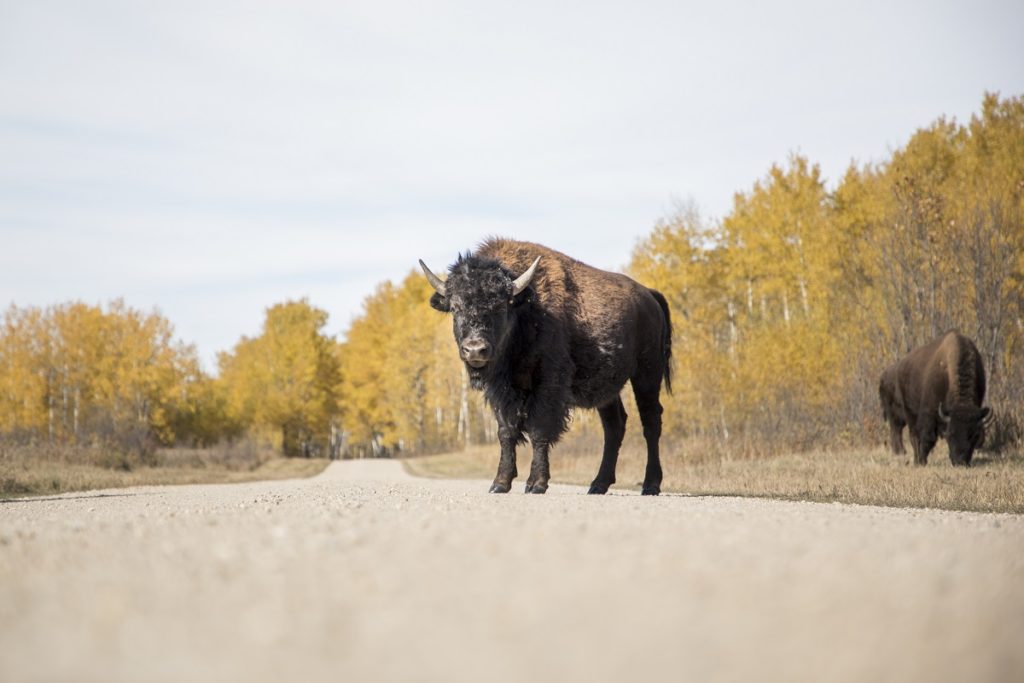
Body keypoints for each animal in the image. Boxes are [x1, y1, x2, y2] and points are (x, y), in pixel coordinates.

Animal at [417, 240, 671, 497]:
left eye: (500, 306)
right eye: (455, 308)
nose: (475, 349)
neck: (526, 310)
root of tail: (650, 297)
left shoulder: (548, 383)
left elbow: (539, 429)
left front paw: (536, 484)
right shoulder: (500, 391)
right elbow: (505, 432)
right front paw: (500, 483)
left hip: (647, 374)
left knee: (651, 421)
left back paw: (650, 485)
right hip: (608, 391)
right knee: (614, 426)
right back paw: (598, 484)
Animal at [880, 329, 991, 466]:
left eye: (974, 435)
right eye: (950, 434)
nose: (960, 461)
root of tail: (900, 367)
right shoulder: (929, 413)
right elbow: (928, 438)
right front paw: (921, 461)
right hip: (907, 414)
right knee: (909, 434)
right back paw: (911, 457)